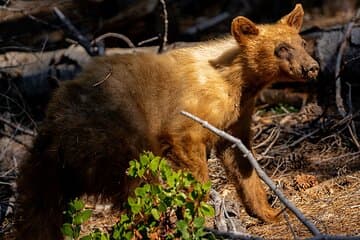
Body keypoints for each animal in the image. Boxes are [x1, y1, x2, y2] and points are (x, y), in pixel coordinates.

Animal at [15, 4, 318, 240]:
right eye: (281, 49)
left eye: (302, 44)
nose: (312, 67)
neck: (234, 79)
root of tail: (53, 128)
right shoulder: (189, 115)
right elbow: (189, 152)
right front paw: (199, 211)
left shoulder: (236, 116)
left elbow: (241, 160)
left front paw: (270, 211)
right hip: (116, 138)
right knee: (138, 187)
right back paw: (153, 227)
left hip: (51, 170)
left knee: (40, 210)